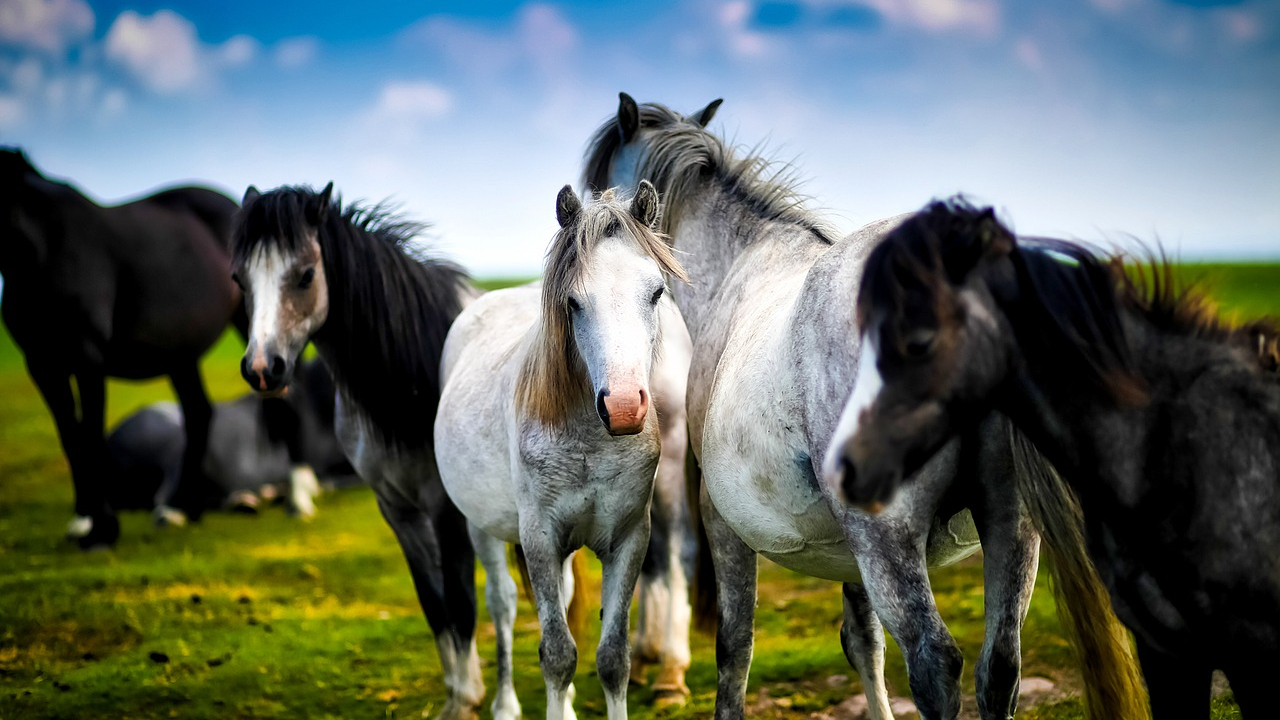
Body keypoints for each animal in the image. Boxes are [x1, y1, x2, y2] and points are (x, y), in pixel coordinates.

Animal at [0, 147, 240, 549]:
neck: (46, 248)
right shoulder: (42, 363)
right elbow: (71, 438)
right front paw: (83, 521)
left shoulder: (87, 357)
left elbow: (91, 436)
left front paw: (102, 529)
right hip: (180, 356)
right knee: (198, 412)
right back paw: (182, 508)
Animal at [230, 183, 485, 720]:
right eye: (239, 279)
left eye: (306, 274)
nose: (263, 369)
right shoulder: (398, 511)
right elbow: (435, 603)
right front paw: (460, 693)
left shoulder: (447, 511)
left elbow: (461, 601)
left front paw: (467, 700)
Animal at [434, 182, 689, 720]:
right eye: (573, 302)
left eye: (656, 292)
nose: (623, 407)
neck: (591, 440)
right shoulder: (540, 539)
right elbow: (557, 653)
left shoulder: (628, 539)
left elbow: (613, 657)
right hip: (481, 527)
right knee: (503, 604)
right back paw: (505, 704)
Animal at [581, 94, 1135, 720]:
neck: (742, 267)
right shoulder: (849, 551)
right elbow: (863, 642)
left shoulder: (724, 523)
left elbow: (734, 649)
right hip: (1008, 525)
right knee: (999, 669)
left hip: (887, 537)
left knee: (934, 663)